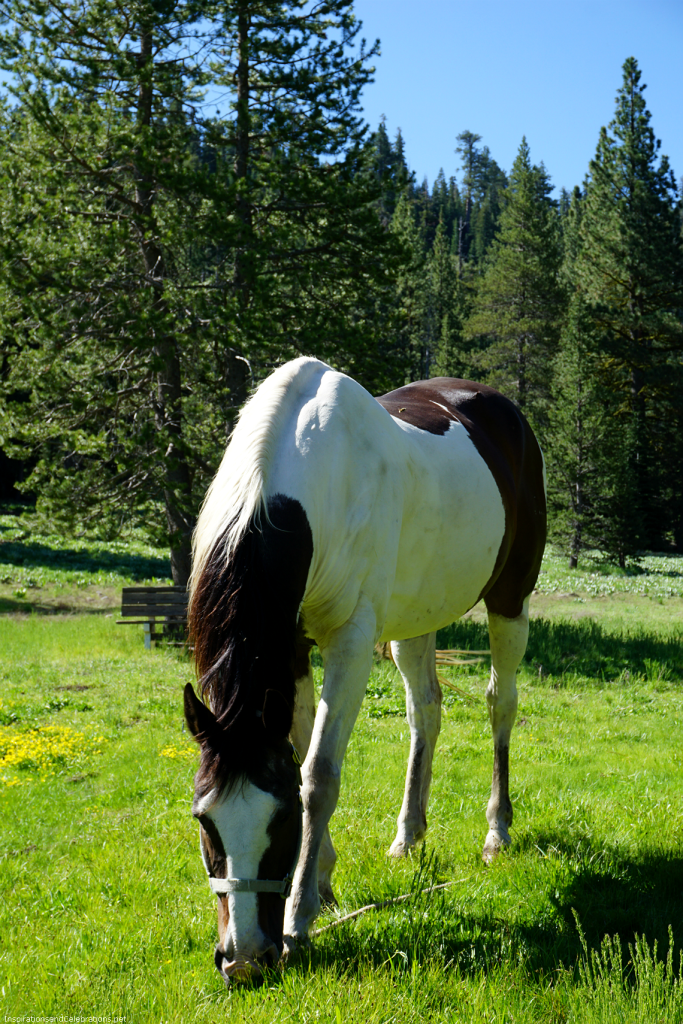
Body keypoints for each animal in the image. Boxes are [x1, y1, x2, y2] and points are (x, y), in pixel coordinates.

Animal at [183, 356, 546, 984]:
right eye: (206, 820)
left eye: (279, 820)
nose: (246, 960)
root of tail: (504, 409)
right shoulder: (294, 646)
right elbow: (304, 754)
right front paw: (323, 881)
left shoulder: (349, 642)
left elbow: (318, 776)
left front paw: (299, 918)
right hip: (415, 616)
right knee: (425, 711)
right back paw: (409, 836)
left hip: (509, 599)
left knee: (501, 704)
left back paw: (497, 831)